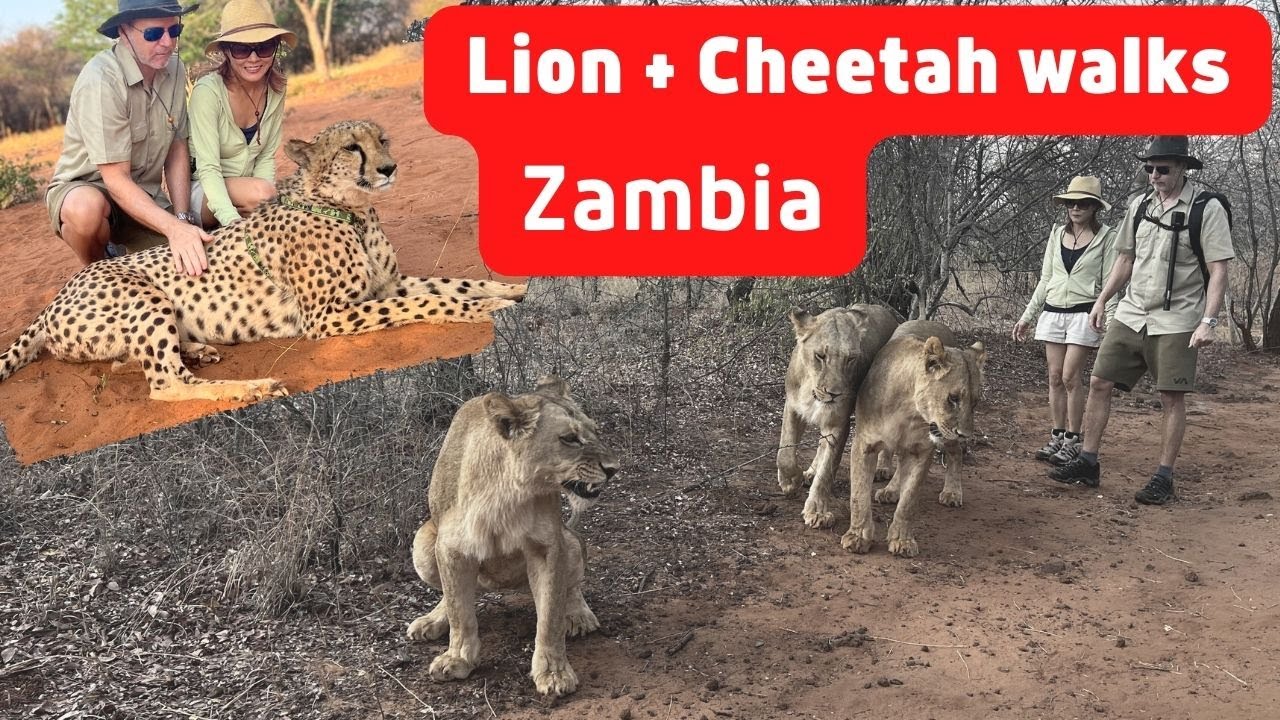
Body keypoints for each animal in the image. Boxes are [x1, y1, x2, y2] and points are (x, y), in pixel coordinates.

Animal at [0, 120, 525, 402]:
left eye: (383, 140)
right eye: (351, 148)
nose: (389, 168)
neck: (350, 210)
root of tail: (53, 299)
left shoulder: (386, 284)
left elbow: (452, 283)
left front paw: (513, 290)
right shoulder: (324, 317)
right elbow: (426, 304)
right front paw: (484, 311)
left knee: (134, 361)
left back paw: (200, 348)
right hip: (143, 299)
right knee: (165, 383)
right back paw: (253, 386)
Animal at [406, 376, 619, 698]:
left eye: (595, 431)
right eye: (570, 438)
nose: (613, 469)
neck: (506, 492)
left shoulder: (547, 547)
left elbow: (550, 617)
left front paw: (553, 673)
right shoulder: (450, 547)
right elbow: (459, 610)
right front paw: (458, 658)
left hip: (569, 541)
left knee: (570, 588)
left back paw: (578, 616)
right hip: (422, 543)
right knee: (450, 591)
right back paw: (432, 619)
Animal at [777, 304, 899, 529]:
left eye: (850, 359)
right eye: (820, 356)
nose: (834, 394)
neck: (811, 389)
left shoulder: (839, 422)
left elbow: (827, 469)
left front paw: (817, 512)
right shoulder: (793, 406)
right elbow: (785, 452)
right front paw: (791, 481)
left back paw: (882, 468)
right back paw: (809, 472)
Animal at [840, 327, 986, 557]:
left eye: (975, 402)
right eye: (953, 398)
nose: (965, 434)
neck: (908, 413)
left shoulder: (922, 451)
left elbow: (909, 500)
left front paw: (902, 540)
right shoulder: (864, 445)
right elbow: (859, 495)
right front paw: (857, 537)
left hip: (943, 441)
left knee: (956, 453)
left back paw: (952, 492)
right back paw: (889, 487)